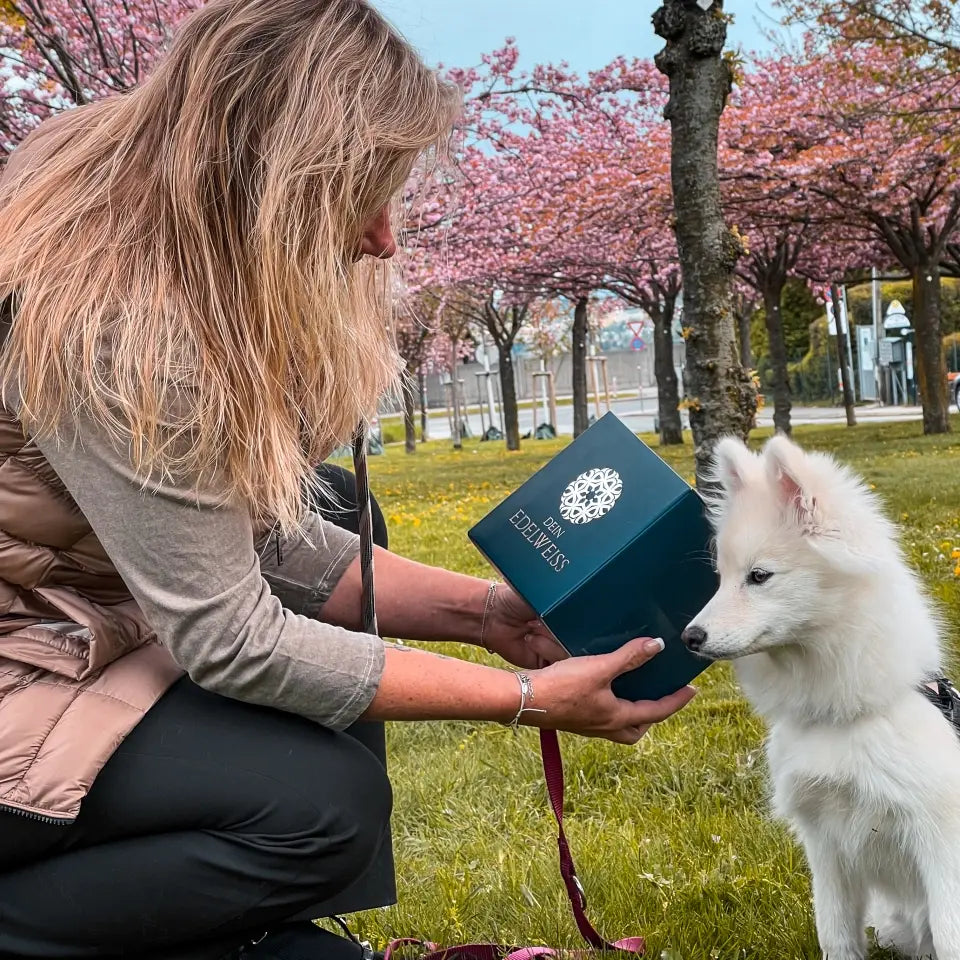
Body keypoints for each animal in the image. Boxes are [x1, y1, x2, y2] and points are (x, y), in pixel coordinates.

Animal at [684, 436, 960, 960]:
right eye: (721, 577)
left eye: (759, 576)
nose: (690, 637)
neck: (845, 716)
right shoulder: (826, 846)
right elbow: (835, 933)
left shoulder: (940, 846)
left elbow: (950, 932)